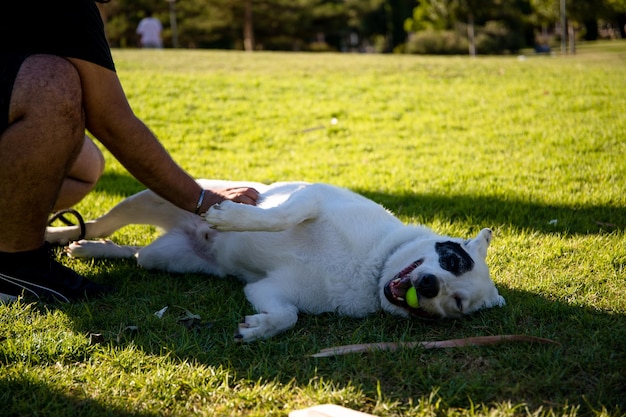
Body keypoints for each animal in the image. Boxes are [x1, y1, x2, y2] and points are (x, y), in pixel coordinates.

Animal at [45, 180, 502, 342]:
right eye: (452, 258)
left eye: (457, 303)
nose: (428, 286)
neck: (370, 267)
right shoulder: (311, 198)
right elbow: (280, 215)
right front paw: (234, 218)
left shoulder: (268, 289)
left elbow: (287, 316)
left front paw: (260, 328)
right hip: (147, 198)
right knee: (102, 222)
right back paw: (59, 236)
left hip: (165, 260)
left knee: (137, 254)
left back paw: (90, 250)